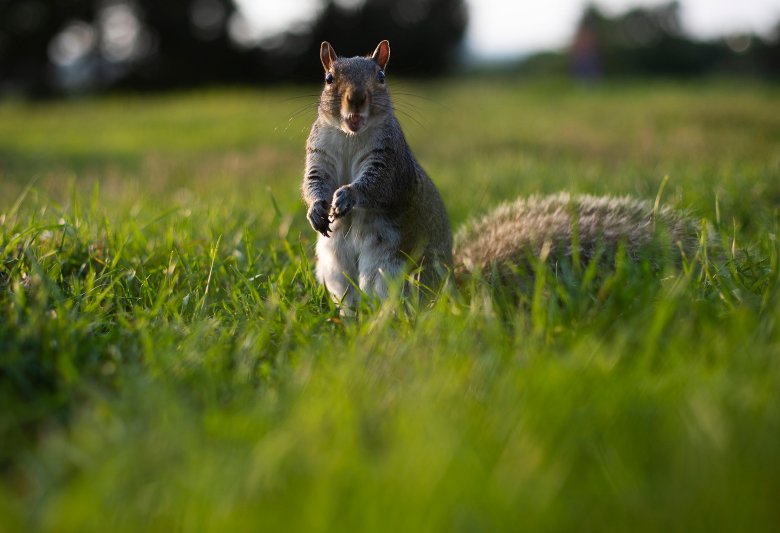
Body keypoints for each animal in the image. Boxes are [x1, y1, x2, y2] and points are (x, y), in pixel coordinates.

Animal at [302, 40, 700, 306]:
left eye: (382, 76)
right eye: (328, 77)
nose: (356, 100)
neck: (351, 136)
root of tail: (453, 288)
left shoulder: (392, 162)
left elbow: (378, 186)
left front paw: (348, 196)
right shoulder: (320, 154)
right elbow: (313, 182)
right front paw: (317, 208)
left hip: (389, 271)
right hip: (336, 274)